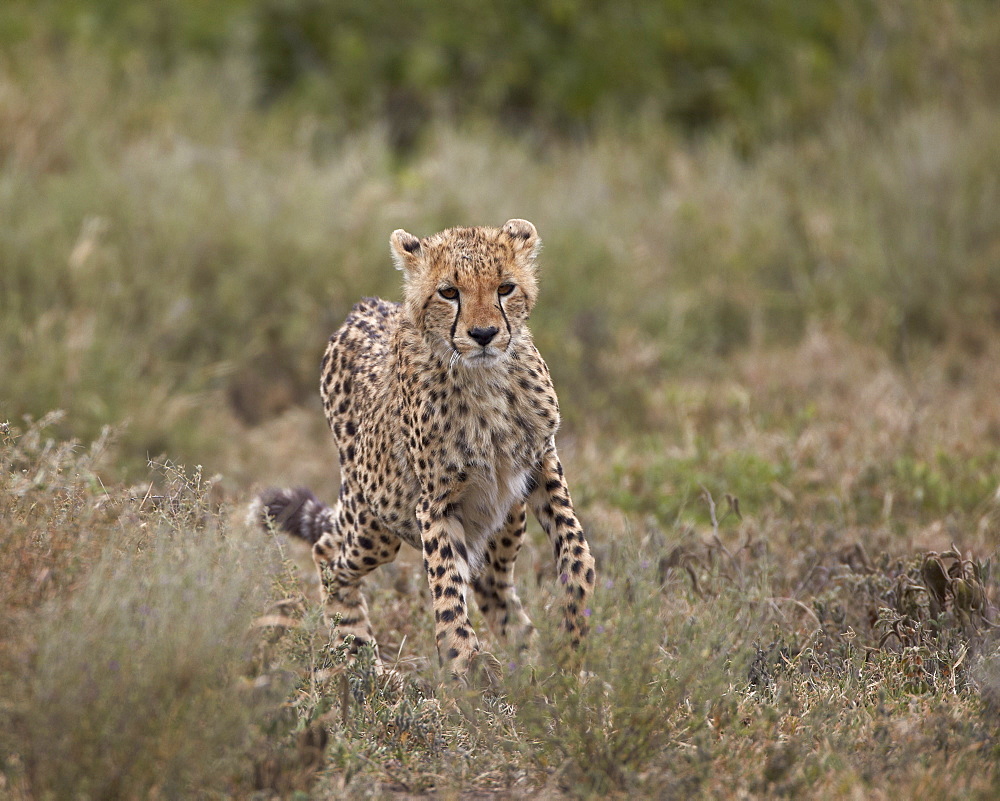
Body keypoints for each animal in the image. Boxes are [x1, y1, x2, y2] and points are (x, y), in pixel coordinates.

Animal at [258, 217, 596, 676]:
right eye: (449, 292)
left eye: (505, 288)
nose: (484, 334)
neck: (484, 378)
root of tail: (364, 306)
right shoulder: (435, 503)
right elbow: (447, 590)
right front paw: (463, 659)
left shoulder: (543, 465)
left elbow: (578, 556)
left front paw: (573, 644)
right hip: (376, 513)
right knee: (329, 551)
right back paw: (360, 658)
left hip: (505, 517)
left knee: (492, 584)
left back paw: (528, 666)